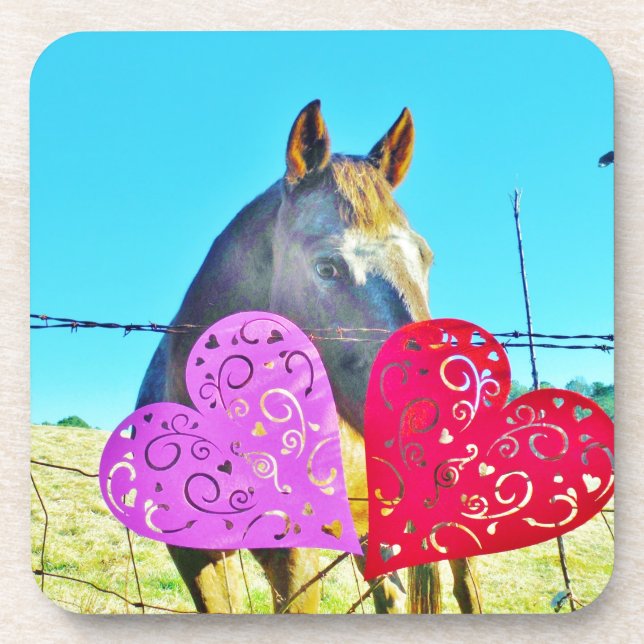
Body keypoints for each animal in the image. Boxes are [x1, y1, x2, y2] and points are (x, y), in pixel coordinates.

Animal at [137, 100, 481, 613]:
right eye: (326, 267)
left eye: (426, 258)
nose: (437, 424)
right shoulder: (197, 557)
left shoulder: (296, 559)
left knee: (464, 589)